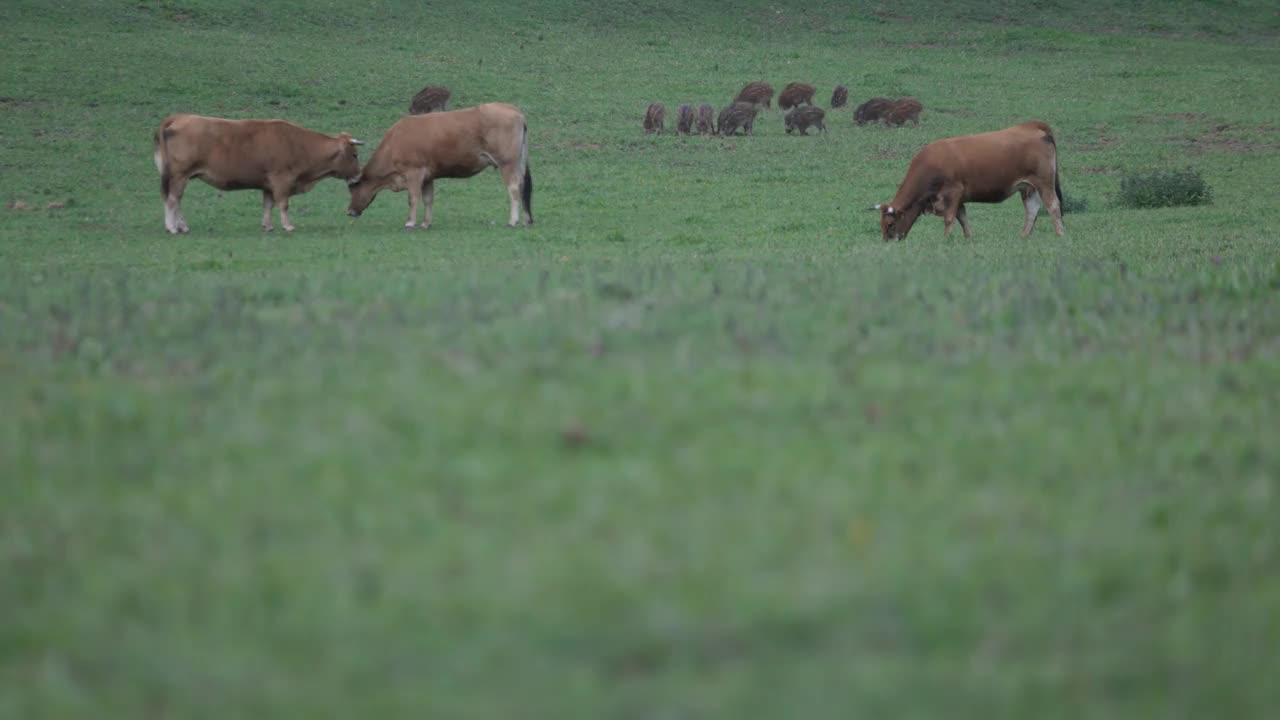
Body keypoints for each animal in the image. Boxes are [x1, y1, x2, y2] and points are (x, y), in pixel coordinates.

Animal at [156, 113, 366, 233]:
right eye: (354, 155)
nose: (358, 176)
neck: (299, 144)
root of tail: (179, 117)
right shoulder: (281, 180)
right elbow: (283, 204)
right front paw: (288, 226)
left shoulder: (268, 184)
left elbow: (268, 205)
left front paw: (268, 226)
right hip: (179, 175)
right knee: (172, 200)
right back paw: (172, 227)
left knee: (175, 200)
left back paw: (181, 226)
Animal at [345, 101, 529, 226]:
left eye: (352, 188)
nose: (349, 211)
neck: (394, 141)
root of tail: (513, 109)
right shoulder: (428, 177)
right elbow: (428, 199)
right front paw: (426, 223)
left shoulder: (414, 172)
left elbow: (413, 198)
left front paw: (410, 222)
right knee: (522, 186)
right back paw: (526, 220)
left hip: (507, 163)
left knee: (513, 188)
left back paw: (513, 221)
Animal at [870, 119, 1070, 239]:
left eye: (890, 224)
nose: (888, 243)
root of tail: (1031, 125)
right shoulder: (959, 199)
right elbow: (963, 218)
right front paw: (968, 238)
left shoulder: (953, 193)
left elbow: (950, 218)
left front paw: (946, 239)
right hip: (1028, 187)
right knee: (1032, 210)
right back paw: (1024, 236)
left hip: (1044, 183)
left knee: (1053, 205)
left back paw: (1060, 234)